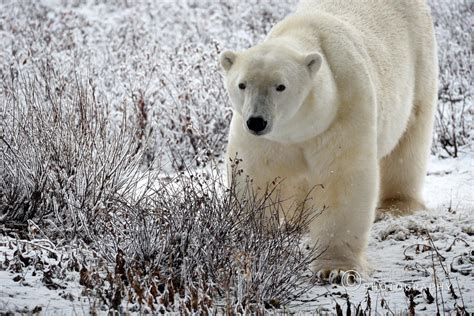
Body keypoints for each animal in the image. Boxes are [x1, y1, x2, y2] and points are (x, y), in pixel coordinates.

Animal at [220, 0, 438, 278]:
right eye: (242, 84)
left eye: (280, 86)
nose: (257, 121)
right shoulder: (264, 140)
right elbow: (254, 178)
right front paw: (251, 247)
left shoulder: (343, 110)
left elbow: (341, 180)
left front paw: (336, 269)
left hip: (420, 63)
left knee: (409, 142)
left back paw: (396, 205)